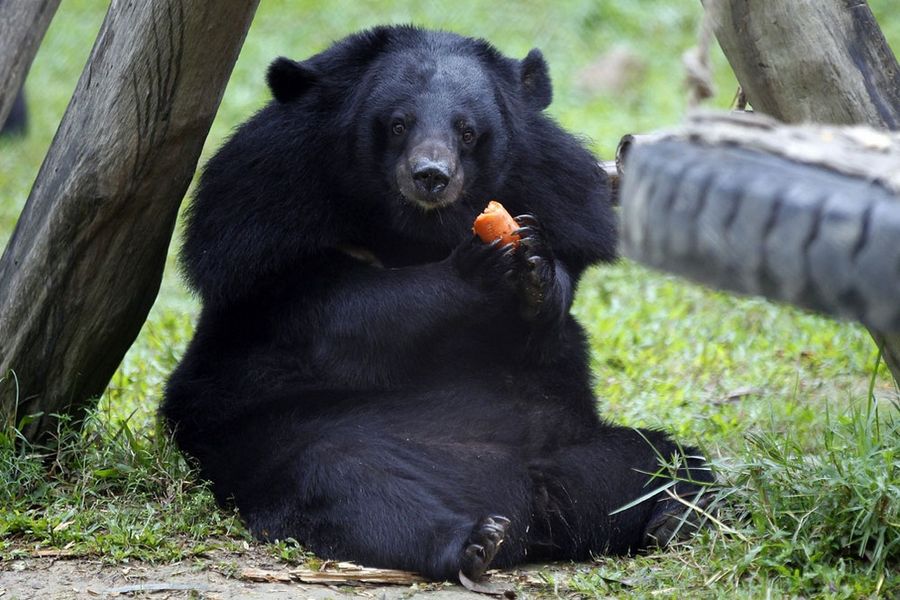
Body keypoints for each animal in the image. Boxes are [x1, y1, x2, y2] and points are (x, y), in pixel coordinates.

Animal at [160, 25, 712, 584]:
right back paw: (475, 540)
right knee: (351, 487)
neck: (416, 228)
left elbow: (545, 322)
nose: (431, 176)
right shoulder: (264, 224)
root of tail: (532, 510)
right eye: (398, 124)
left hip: (579, 449)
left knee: (667, 460)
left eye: (467, 131)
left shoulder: (558, 194)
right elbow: (344, 316)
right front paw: (477, 264)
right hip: (290, 443)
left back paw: (676, 516)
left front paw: (534, 264)